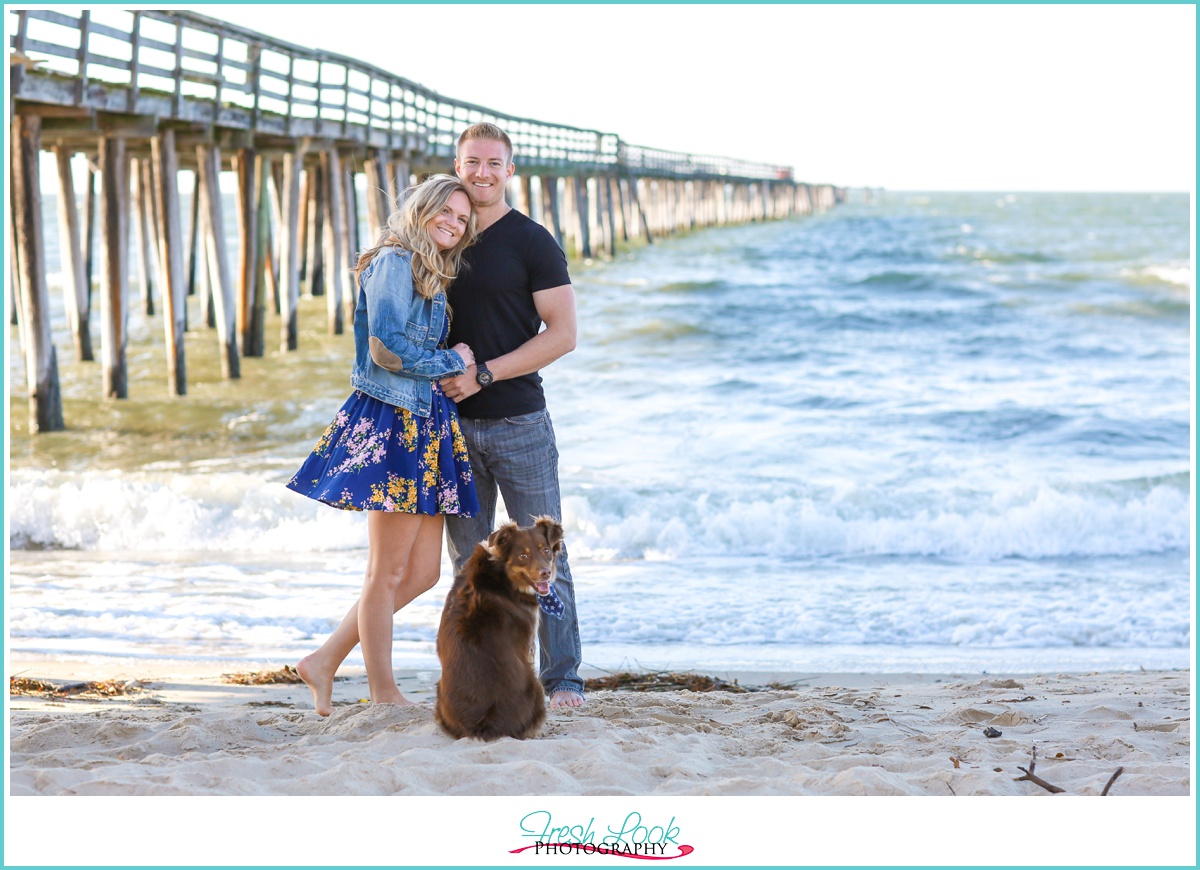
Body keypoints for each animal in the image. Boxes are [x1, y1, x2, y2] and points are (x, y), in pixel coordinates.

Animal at [434, 516, 564, 739]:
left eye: (546, 550)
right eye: (523, 555)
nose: (546, 574)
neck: (502, 574)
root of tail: (482, 726)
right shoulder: (528, 644)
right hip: (535, 686)